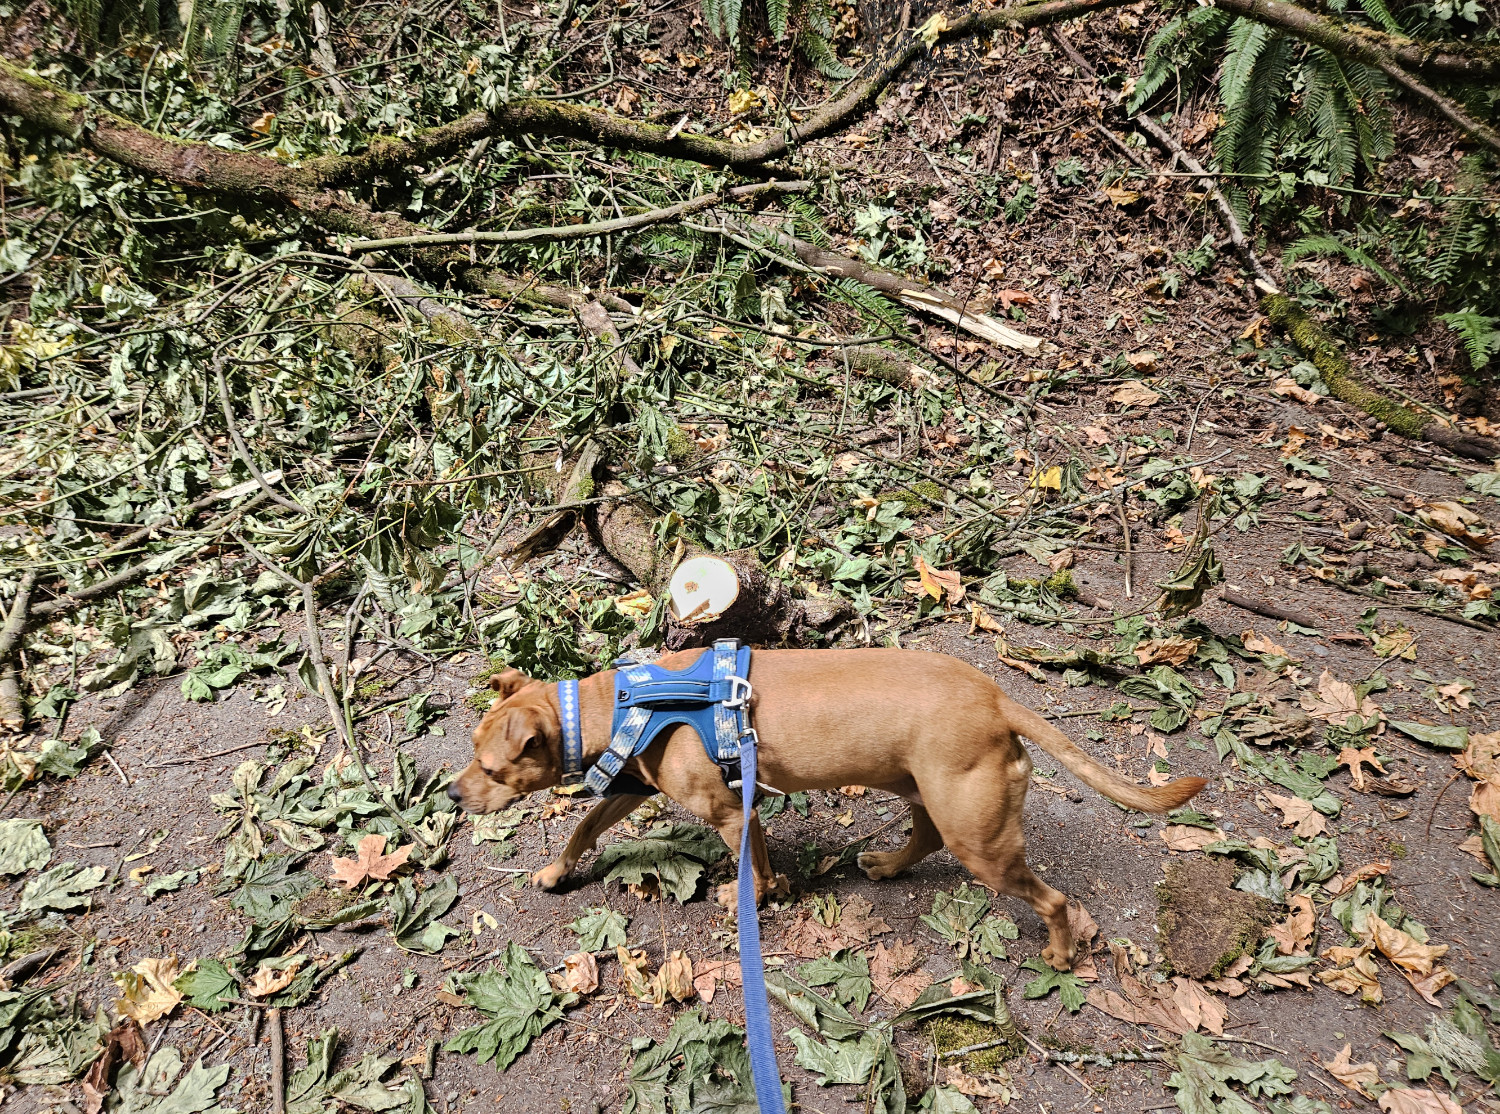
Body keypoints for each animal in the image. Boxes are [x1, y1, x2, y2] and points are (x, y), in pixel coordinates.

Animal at [447, 650, 1206, 971]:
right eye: (471, 751)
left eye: (491, 767)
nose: (453, 794)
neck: (626, 702)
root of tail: (996, 699)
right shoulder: (636, 787)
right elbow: (582, 826)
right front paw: (556, 872)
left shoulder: (732, 810)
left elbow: (750, 867)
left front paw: (753, 898)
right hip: (925, 790)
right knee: (923, 838)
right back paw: (887, 865)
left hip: (980, 838)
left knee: (1050, 898)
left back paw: (1058, 951)